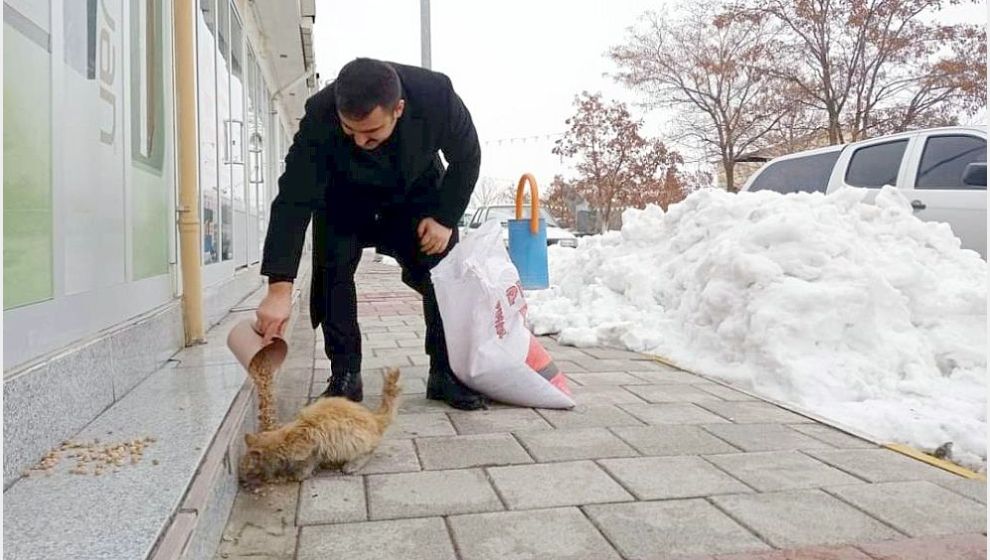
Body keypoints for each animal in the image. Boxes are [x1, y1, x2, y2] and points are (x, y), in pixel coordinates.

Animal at [238, 368, 402, 486]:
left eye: (247, 468)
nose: (241, 480)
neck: (287, 438)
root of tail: (374, 417)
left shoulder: (312, 447)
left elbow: (304, 466)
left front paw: (292, 475)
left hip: (355, 441)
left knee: (369, 452)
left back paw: (351, 465)